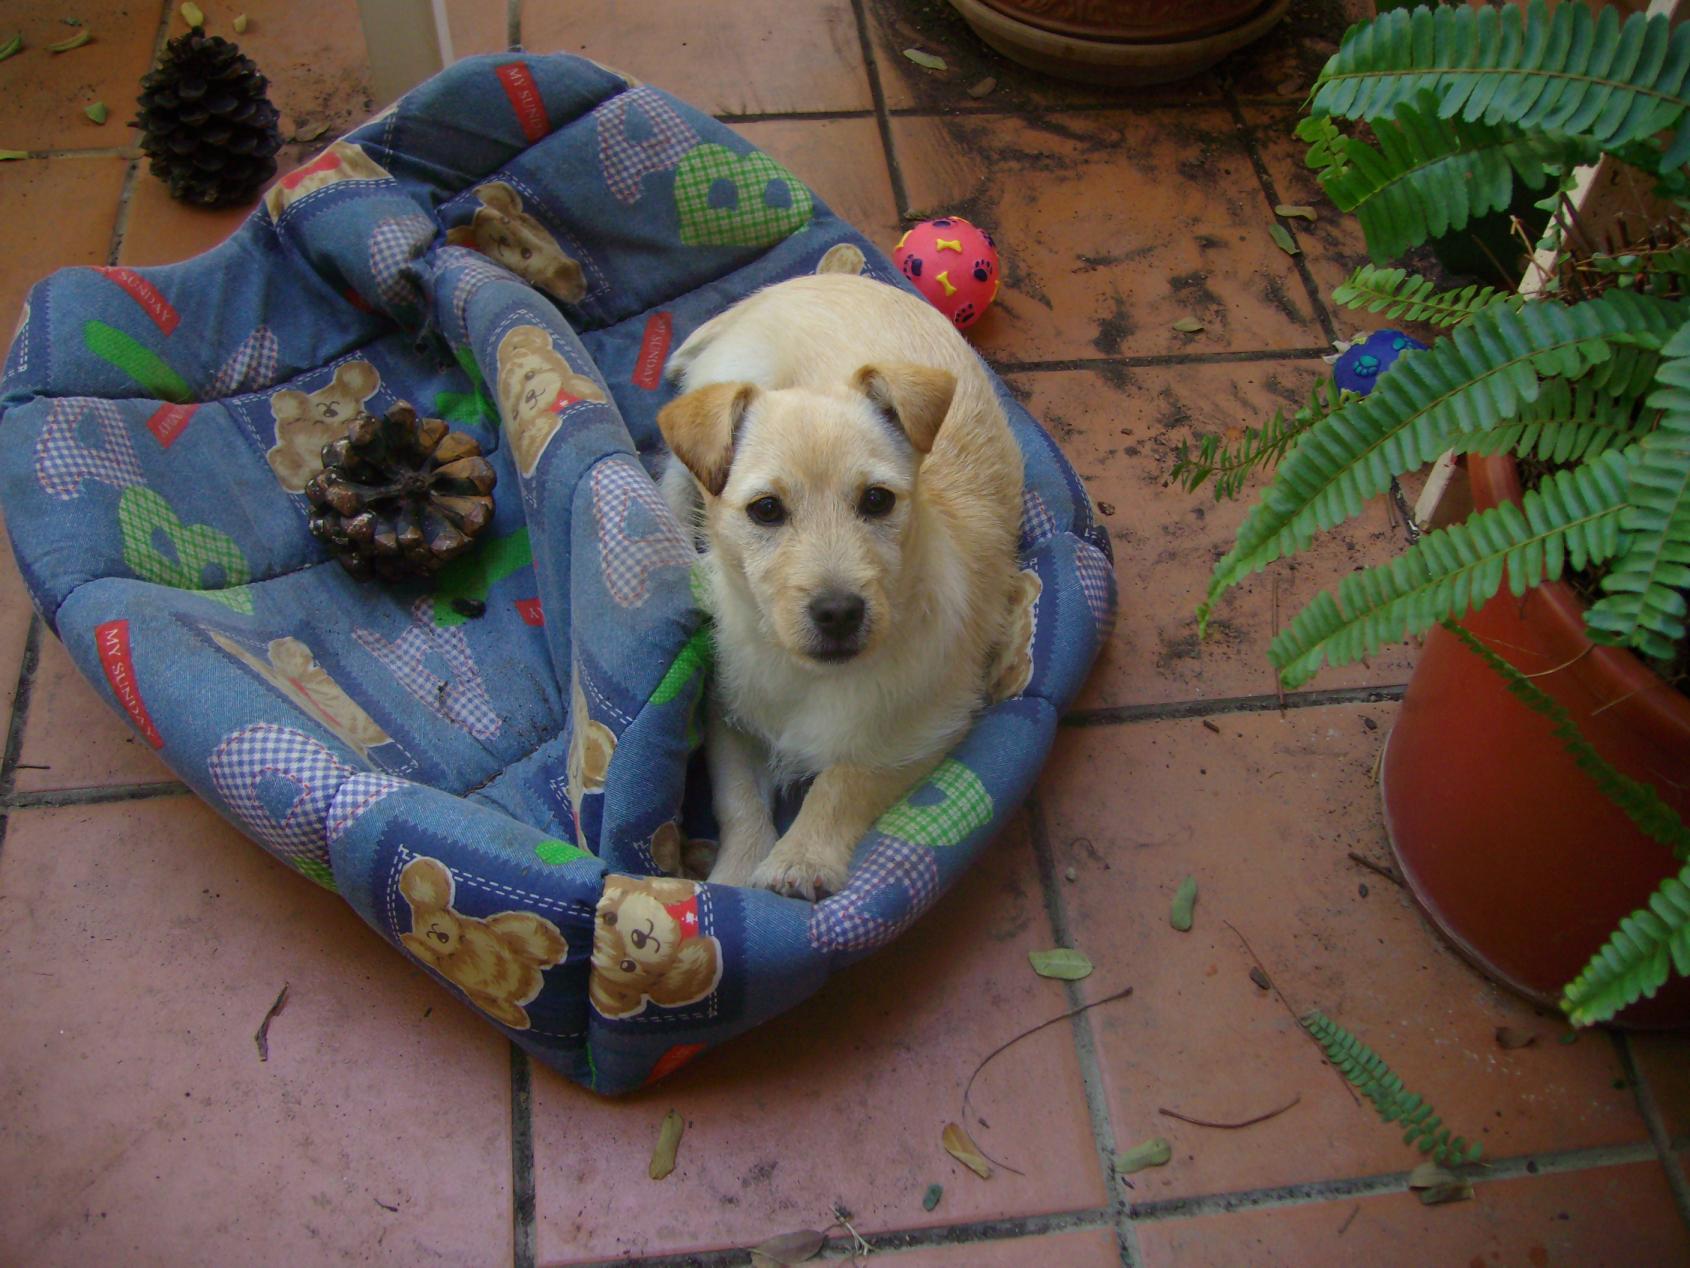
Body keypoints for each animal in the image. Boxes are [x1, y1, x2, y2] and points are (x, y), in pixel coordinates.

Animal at [656, 273, 1025, 900]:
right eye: (766, 510)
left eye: (877, 500)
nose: (838, 612)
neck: (810, 679)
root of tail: (811, 278)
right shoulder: (729, 717)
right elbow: (738, 798)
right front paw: (738, 870)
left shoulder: (920, 730)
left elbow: (844, 780)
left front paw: (800, 857)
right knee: (677, 474)